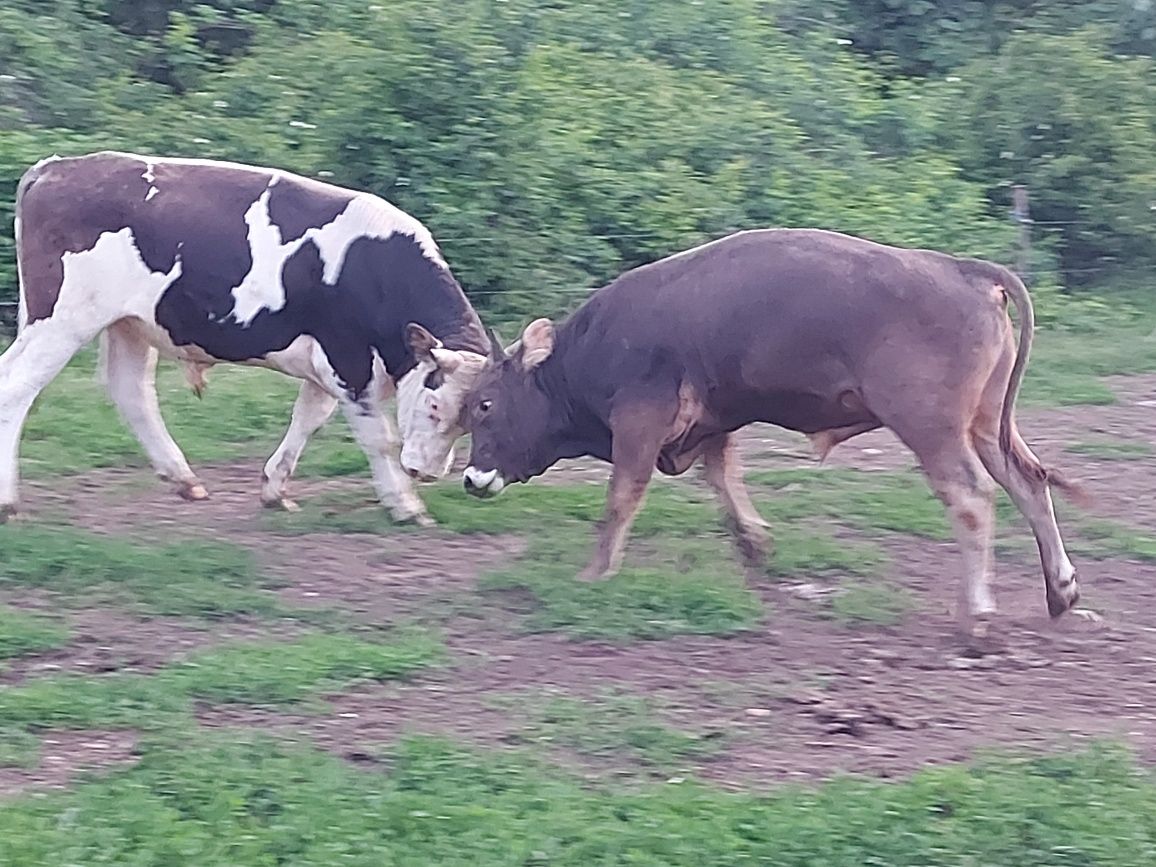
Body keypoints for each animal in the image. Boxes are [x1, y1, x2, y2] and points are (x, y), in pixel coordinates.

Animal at [0, 151, 492, 522]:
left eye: (473, 416)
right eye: (433, 406)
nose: (427, 472)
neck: (375, 269)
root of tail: (56, 167)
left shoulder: (327, 363)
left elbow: (307, 419)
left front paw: (274, 489)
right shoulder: (347, 358)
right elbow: (378, 436)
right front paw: (406, 504)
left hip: (128, 323)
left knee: (131, 391)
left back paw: (185, 479)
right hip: (62, 320)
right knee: (16, 388)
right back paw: (8, 502)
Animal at [457, 227, 1082, 633]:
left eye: (485, 404)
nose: (471, 478)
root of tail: (962, 269)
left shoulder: (639, 423)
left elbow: (621, 499)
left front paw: (595, 572)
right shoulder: (712, 423)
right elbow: (722, 479)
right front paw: (755, 543)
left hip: (933, 429)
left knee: (971, 497)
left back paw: (976, 617)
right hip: (985, 426)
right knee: (1029, 483)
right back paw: (1060, 592)